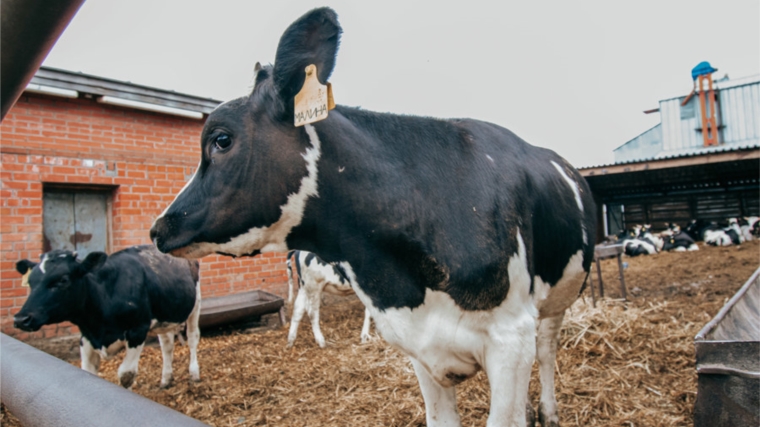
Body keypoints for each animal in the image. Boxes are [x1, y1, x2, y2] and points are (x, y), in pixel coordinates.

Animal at [14, 246, 200, 390]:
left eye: (63, 280)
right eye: (30, 282)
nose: (21, 319)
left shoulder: (138, 331)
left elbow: (126, 374)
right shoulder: (86, 337)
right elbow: (88, 371)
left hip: (195, 306)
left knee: (192, 338)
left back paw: (194, 374)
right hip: (164, 317)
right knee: (167, 345)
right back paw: (166, 380)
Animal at [148, 8, 596, 426]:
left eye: (221, 140)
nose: (158, 228)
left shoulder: (510, 338)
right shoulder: (422, 349)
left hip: (556, 301)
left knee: (547, 350)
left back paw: (548, 410)